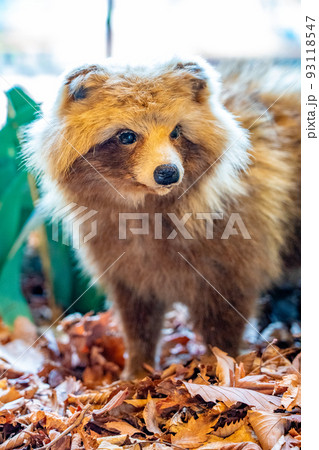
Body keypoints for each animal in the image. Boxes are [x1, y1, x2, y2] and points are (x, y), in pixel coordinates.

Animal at [25, 57, 302, 380]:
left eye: (176, 132)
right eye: (127, 136)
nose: (168, 172)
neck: (144, 207)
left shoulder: (234, 256)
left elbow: (223, 322)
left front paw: (221, 365)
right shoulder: (125, 267)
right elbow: (138, 321)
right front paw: (137, 370)